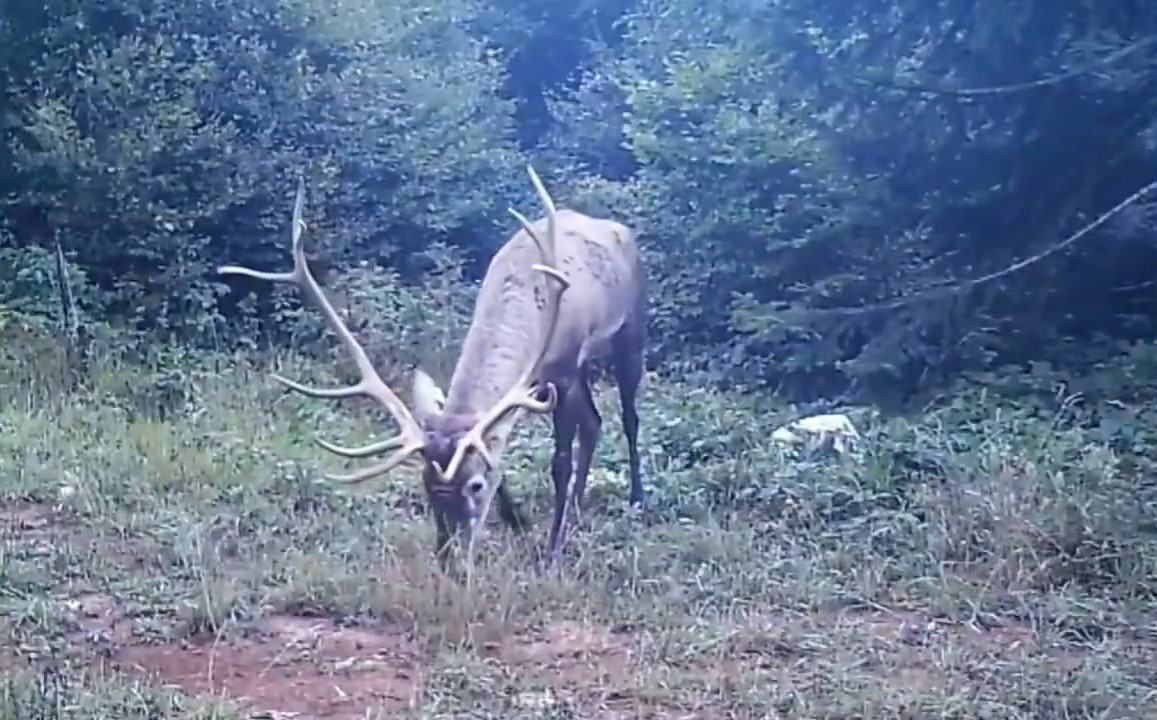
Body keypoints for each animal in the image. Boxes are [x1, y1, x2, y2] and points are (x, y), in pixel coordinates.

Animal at [217, 169, 647, 569]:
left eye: (475, 486)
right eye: (426, 486)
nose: (449, 560)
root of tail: (622, 230)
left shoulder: (564, 367)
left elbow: (559, 463)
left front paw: (551, 552)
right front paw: (517, 519)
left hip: (629, 329)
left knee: (627, 416)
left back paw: (635, 500)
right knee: (594, 422)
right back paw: (578, 507)